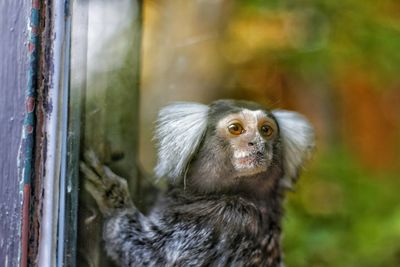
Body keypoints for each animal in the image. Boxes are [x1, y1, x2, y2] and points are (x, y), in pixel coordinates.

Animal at [79, 99, 314, 266]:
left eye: (266, 130)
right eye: (235, 128)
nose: (257, 143)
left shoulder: (226, 220)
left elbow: (152, 257)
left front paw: (114, 197)